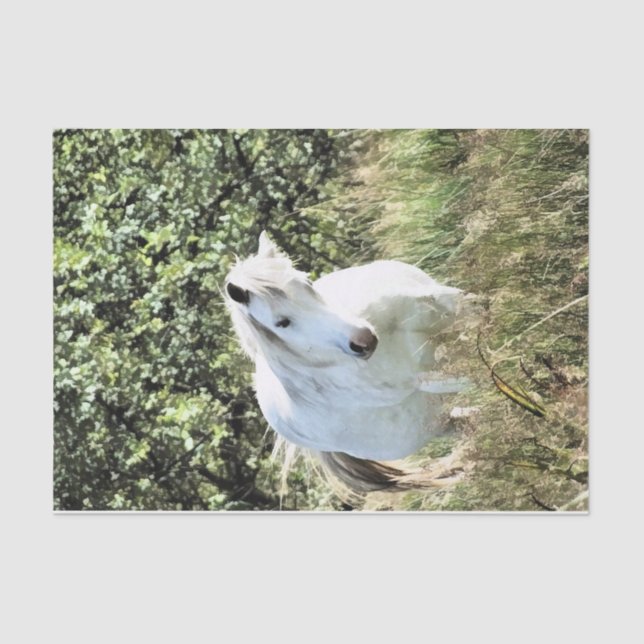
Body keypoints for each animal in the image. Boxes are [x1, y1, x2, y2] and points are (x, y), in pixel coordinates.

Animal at [224, 231, 477, 493]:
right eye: (281, 323)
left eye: (307, 284)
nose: (364, 340)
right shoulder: (425, 379)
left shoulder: (443, 302)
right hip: (430, 422)